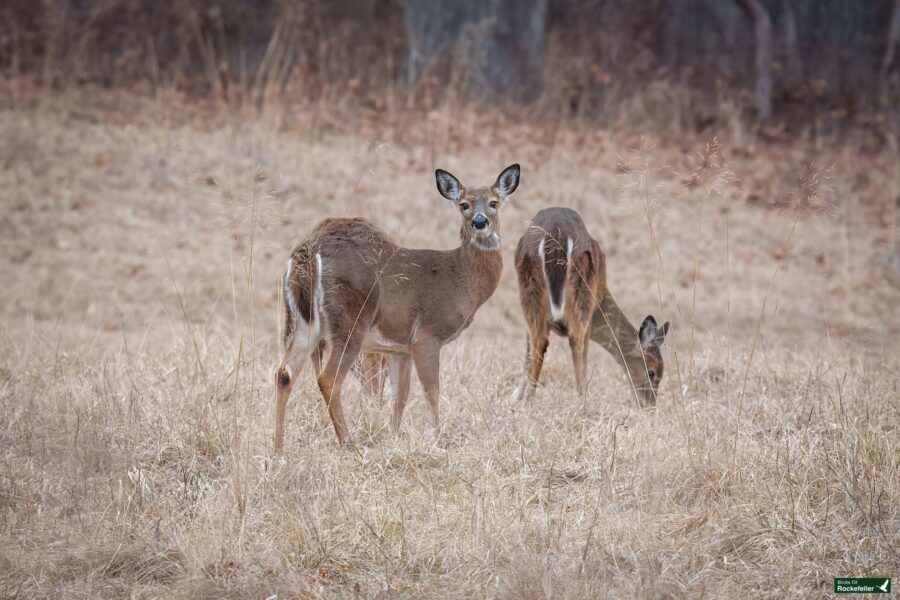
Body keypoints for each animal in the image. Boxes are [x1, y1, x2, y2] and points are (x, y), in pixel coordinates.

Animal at [274, 162, 520, 452]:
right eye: (464, 204)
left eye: (494, 202)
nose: (480, 222)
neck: (459, 279)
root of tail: (307, 255)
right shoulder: (426, 336)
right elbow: (432, 391)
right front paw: (435, 441)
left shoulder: (399, 348)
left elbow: (399, 396)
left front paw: (393, 438)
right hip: (351, 320)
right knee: (328, 378)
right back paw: (348, 444)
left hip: (302, 321)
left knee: (284, 373)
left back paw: (277, 450)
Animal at [512, 207, 668, 408]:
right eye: (652, 372)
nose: (649, 405)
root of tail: (555, 237)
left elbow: (528, 353)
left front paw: (515, 397)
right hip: (581, 289)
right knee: (572, 339)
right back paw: (582, 401)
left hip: (533, 289)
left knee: (542, 340)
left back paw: (533, 399)